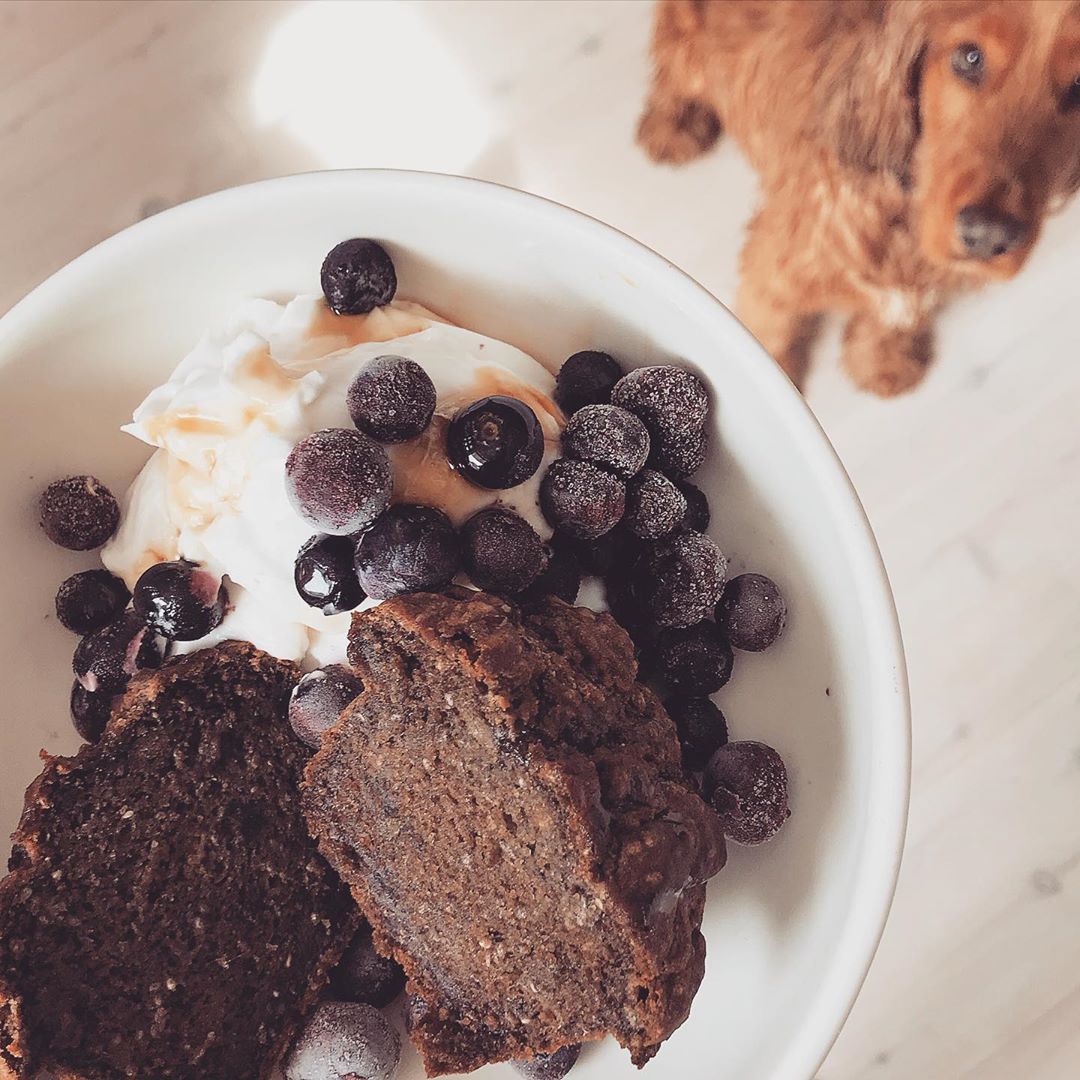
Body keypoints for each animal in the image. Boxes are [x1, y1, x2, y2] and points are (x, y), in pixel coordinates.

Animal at [639, 0, 1080, 397]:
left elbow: (895, 317)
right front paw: (778, 377)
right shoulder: (774, 272)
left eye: (1078, 87)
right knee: (672, 65)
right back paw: (672, 126)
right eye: (969, 58)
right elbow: (771, 330)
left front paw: (882, 361)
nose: (988, 235)